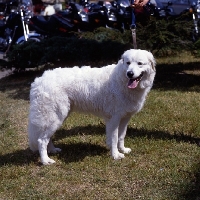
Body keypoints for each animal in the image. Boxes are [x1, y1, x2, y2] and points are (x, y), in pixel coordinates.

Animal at [28, 48, 156, 164]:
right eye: (128, 63)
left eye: (139, 63)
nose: (129, 73)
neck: (121, 79)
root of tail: (39, 81)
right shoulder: (114, 118)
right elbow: (114, 138)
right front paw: (115, 155)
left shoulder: (125, 118)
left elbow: (121, 136)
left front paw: (122, 150)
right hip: (55, 117)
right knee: (41, 140)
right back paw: (46, 160)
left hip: (58, 117)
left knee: (47, 138)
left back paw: (53, 150)